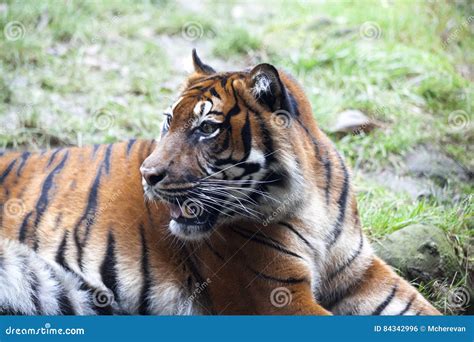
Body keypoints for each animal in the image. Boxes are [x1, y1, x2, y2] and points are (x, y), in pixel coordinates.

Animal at [0, 49, 440, 314]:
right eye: (168, 121)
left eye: (207, 129)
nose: (147, 174)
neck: (311, 203)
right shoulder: (274, 294)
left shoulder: (362, 274)